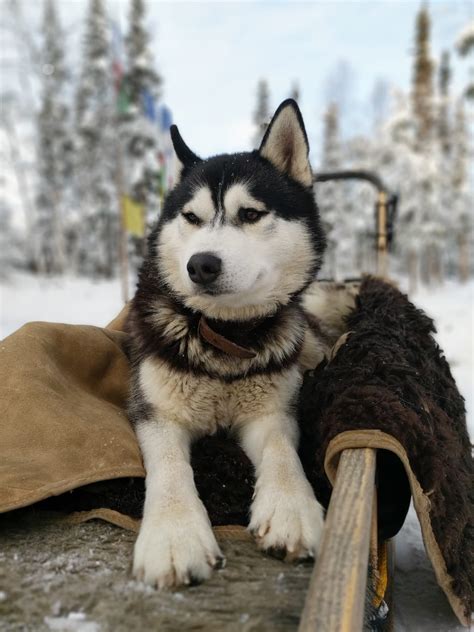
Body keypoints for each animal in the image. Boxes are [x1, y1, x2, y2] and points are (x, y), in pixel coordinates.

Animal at [128, 97, 332, 588]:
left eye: (251, 214)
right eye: (192, 218)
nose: (201, 264)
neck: (225, 339)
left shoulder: (272, 411)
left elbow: (282, 452)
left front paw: (291, 508)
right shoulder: (156, 412)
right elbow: (170, 467)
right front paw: (174, 534)